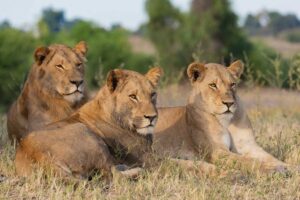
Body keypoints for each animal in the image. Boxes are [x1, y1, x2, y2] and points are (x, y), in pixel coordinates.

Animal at [15, 66, 163, 179]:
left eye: (152, 95)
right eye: (133, 96)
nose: (152, 117)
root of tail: (33, 152)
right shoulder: (148, 159)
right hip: (87, 134)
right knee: (112, 174)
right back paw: (136, 171)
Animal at [154, 60, 290, 173]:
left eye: (233, 84)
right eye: (213, 85)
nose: (229, 103)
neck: (226, 122)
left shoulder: (248, 145)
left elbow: (270, 157)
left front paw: (287, 166)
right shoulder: (217, 151)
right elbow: (246, 160)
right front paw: (271, 169)